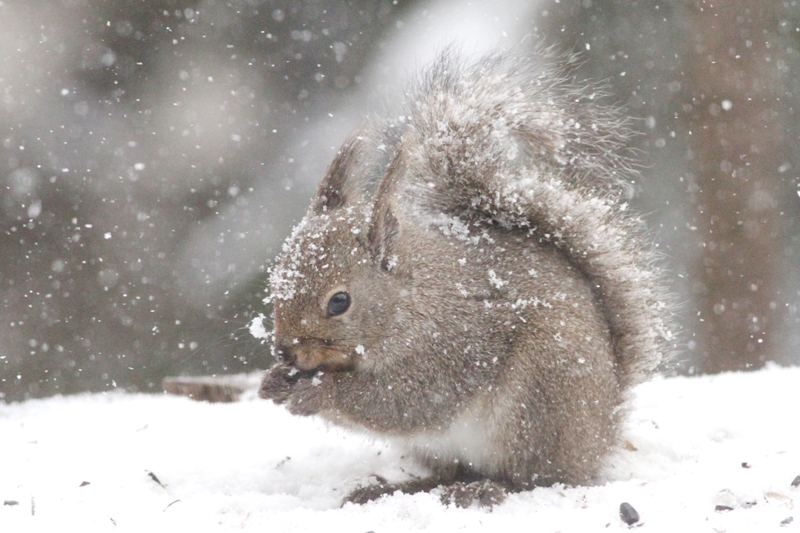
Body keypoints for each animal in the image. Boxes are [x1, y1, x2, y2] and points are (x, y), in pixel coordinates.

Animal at [260, 47, 672, 504]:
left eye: (339, 301)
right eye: (276, 282)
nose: (285, 352)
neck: (410, 298)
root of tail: (599, 438)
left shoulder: (453, 347)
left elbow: (403, 400)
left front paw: (317, 392)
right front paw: (274, 382)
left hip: (536, 402)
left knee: (533, 477)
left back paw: (488, 489)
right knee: (452, 470)